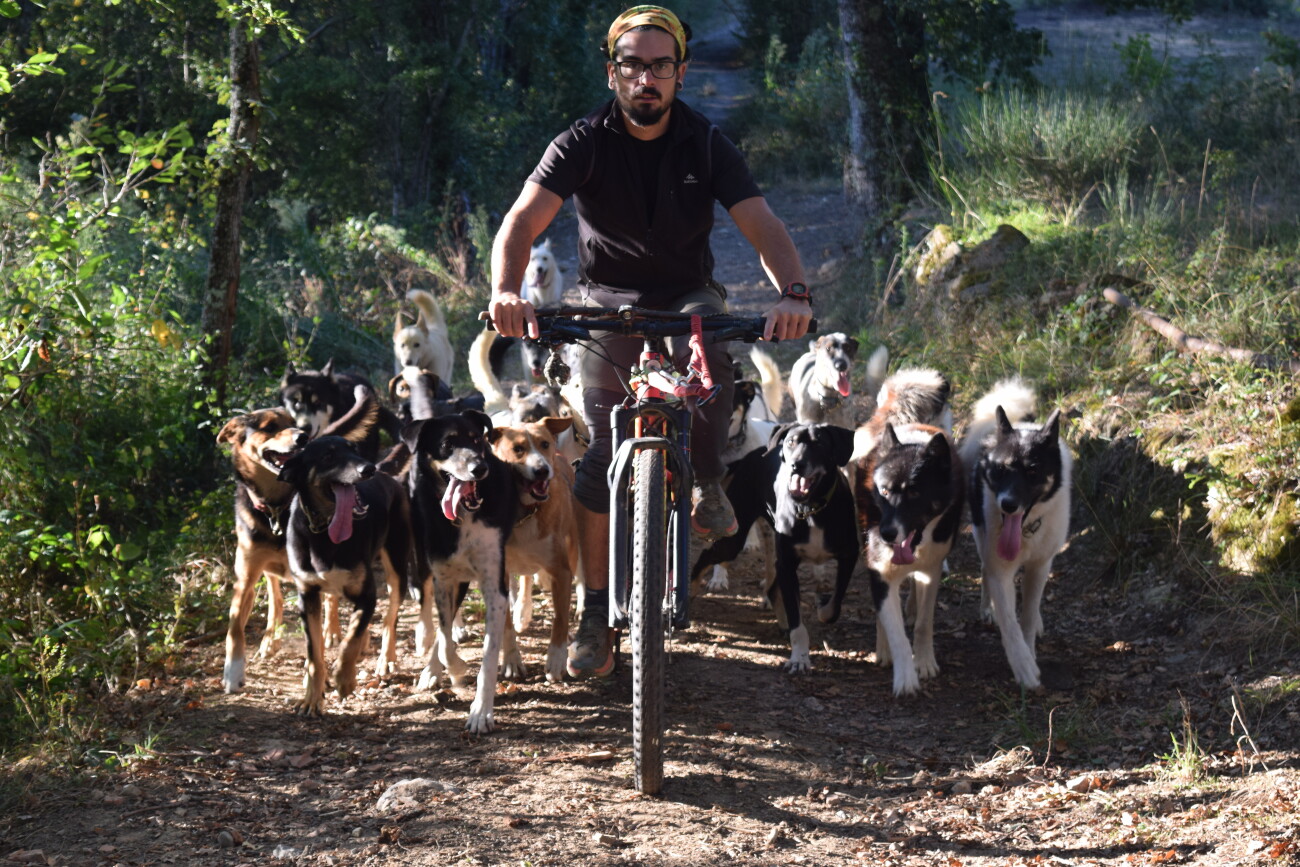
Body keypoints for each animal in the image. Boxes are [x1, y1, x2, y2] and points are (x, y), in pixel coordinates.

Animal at [217, 410, 340, 696]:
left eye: (294, 422)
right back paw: (270, 639)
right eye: (270, 427)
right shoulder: (244, 578)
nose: (304, 436)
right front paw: (233, 673)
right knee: (275, 596)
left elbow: (314, 637)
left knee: (331, 600)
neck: (276, 508)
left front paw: (314, 677)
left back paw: (332, 631)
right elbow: (234, 626)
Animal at [276, 436, 408, 717]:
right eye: (328, 456)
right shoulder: (307, 596)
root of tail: (386, 475)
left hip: (397, 566)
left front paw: (345, 679)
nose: (368, 469)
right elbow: (314, 653)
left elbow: (350, 640)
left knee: (390, 617)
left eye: (354, 449)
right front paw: (311, 697)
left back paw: (385, 659)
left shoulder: (367, 596)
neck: (324, 530)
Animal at [403, 413, 514, 733]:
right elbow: (444, 640)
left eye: (476, 439)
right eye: (447, 444)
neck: (464, 517)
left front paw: (480, 712)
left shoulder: (494, 585)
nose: (480, 469)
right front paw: (454, 669)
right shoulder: (445, 579)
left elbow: (488, 656)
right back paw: (431, 666)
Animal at [488, 415, 582, 681]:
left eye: (544, 444)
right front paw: (511, 659)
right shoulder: (499, 572)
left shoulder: (561, 571)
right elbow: (506, 624)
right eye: (518, 449)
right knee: (526, 579)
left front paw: (556, 660)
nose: (542, 470)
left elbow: (560, 618)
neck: (525, 512)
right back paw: (523, 610)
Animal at [691, 423, 863, 675]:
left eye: (820, 443)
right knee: (704, 558)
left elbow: (833, 607)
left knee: (772, 589)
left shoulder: (849, 556)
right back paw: (684, 594)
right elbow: (797, 620)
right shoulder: (788, 565)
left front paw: (821, 609)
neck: (810, 509)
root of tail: (750, 456)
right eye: (790, 442)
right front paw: (799, 658)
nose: (796, 465)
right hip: (734, 539)